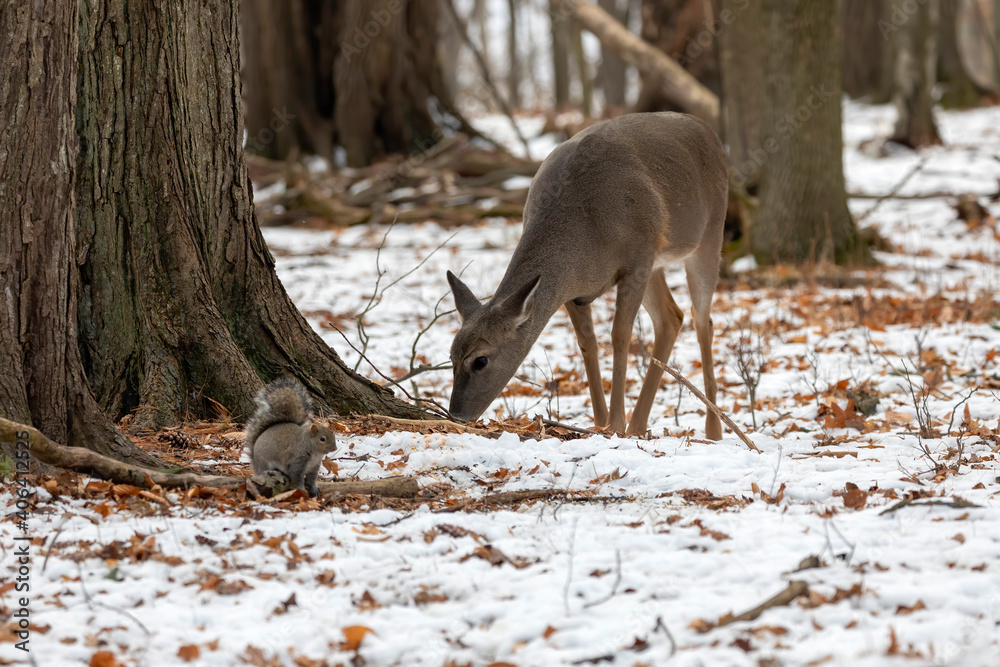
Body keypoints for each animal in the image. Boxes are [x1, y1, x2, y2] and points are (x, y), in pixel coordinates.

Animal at [446, 112, 728, 440]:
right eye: (451, 355)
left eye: (480, 360)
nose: (456, 415)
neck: (587, 232)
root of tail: (707, 129)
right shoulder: (572, 289)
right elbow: (587, 343)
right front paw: (601, 423)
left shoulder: (637, 258)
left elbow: (620, 335)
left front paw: (616, 424)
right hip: (658, 263)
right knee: (672, 316)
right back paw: (639, 426)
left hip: (709, 235)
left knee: (701, 319)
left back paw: (713, 430)